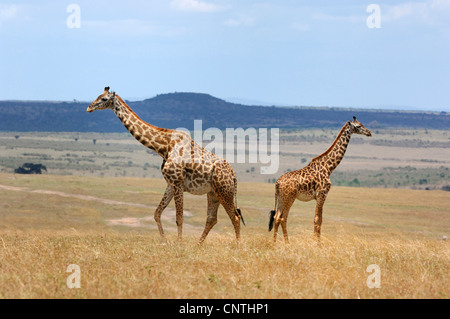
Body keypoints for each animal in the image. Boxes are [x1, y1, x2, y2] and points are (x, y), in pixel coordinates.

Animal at [86, 87, 244, 245]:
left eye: (104, 99)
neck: (164, 147)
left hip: (224, 191)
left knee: (235, 217)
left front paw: (179, 243)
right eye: (97, 96)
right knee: (212, 218)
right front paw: (165, 241)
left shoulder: (177, 182)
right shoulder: (170, 184)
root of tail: (234, 176)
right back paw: (198, 245)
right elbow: (157, 213)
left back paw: (237, 245)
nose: (89, 108)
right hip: (213, 192)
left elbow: (179, 217)